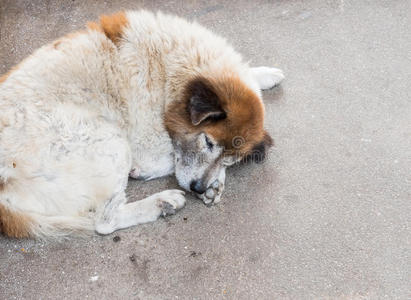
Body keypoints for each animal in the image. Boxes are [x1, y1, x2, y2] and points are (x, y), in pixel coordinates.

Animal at [0, 9, 284, 239]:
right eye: (207, 141)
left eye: (230, 160)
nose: (198, 187)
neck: (170, 68)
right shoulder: (149, 148)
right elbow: (173, 160)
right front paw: (214, 182)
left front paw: (264, 74)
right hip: (108, 139)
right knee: (105, 221)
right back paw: (161, 202)